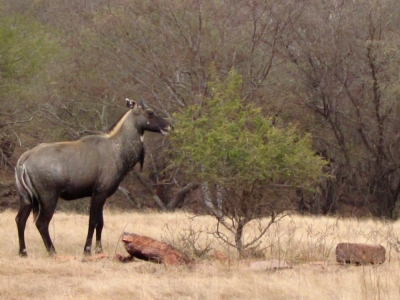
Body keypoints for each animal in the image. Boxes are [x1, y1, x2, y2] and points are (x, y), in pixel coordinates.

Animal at [14, 98, 170, 255]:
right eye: (150, 112)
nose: (168, 126)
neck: (116, 150)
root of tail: (24, 159)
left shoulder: (101, 194)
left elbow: (100, 222)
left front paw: (99, 249)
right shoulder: (99, 192)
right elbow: (93, 221)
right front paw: (87, 250)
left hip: (26, 197)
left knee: (20, 219)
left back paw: (23, 252)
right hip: (49, 196)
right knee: (41, 222)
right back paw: (52, 251)